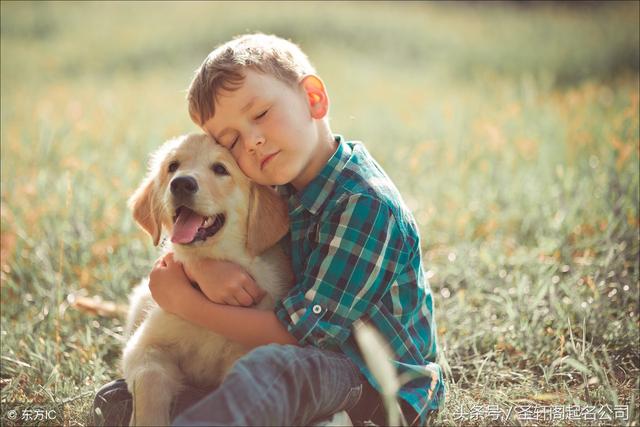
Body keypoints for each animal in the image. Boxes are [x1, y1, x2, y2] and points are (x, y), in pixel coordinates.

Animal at [122, 133, 292, 424]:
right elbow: (150, 378)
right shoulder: (142, 345)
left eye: (221, 169)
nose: (181, 183)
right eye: (173, 167)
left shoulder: (243, 352)